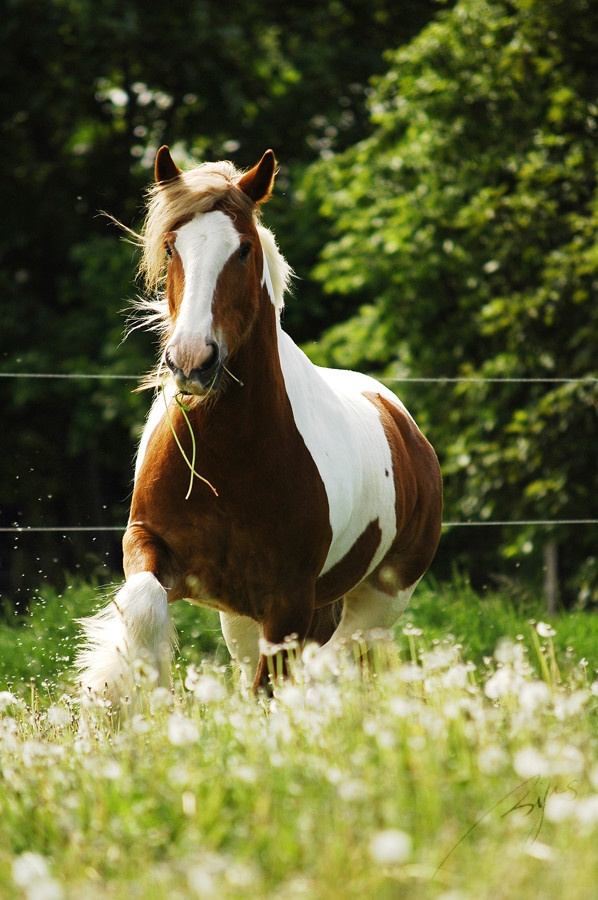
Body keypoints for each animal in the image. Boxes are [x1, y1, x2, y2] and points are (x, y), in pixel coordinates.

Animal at [75, 148, 442, 700]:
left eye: (244, 250)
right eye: (171, 246)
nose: (192, 362)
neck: (229, 460)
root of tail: (406, 428)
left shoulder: (289, 599)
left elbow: (272, 688)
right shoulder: (148, 545)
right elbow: (142, 610)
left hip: (379, 598)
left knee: (336, 658)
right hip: (244, 619)